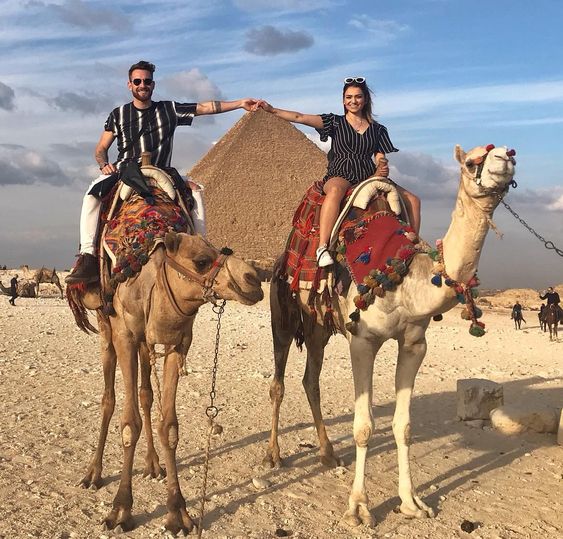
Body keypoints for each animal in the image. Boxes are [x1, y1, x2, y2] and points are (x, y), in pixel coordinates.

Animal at [69, 232, 264, 536]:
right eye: (201, 261)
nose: (254, 279)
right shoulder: (125, 335)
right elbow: (129, 424)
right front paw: (120, 510)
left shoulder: (179, 341)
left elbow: (169, 426)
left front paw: (178, 514)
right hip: (105, 328)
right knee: (108, 398)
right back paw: (93, 474)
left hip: (144, 344)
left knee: (146, 393)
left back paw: (153, 465)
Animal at [266, 144, 516, 528]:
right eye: (472, 160)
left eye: (510, 152)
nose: (505, 158)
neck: (403, 276)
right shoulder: (362, 341)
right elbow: (364, 427)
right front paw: (358, 508)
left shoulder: (414, 344)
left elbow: (404, 426)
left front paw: (411, 502)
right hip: (282, 312)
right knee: (278, 383)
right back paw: (273, 456)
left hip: (319, 326)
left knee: (311, 380)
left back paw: (328, 454)